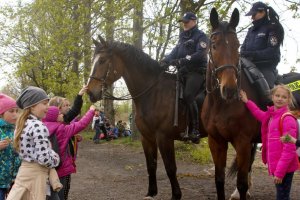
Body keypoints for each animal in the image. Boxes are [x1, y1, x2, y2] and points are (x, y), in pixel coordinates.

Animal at [86, 35, 206, 198]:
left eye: (103, 60)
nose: (90, 92)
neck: (153, 92)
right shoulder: (147, 138)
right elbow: (151, 165)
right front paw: (151, 192)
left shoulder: (164, 137)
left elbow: (170, 168)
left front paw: (176, 195)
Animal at [202, 8, 260, 200]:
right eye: (214, 45)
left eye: (237, 45)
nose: (229, 90)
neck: (221, 106)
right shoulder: (216, 141)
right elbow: (219, 180)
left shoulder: (242, 142)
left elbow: (241, 183)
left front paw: (242, 190)